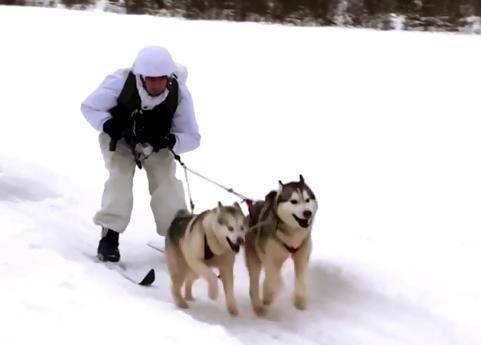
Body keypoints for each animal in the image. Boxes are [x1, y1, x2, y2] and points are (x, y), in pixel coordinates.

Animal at [246, 175, 316, 314]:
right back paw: (259, 306)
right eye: (294, 201)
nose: (307, 213)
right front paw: (269, 294)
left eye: (307, 199)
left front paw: (300, 303)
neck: (292, 234)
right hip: (255, 257)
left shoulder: (302, 257)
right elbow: (273, 278)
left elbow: (301, 280)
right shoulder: (268, 255)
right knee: (255, 281)